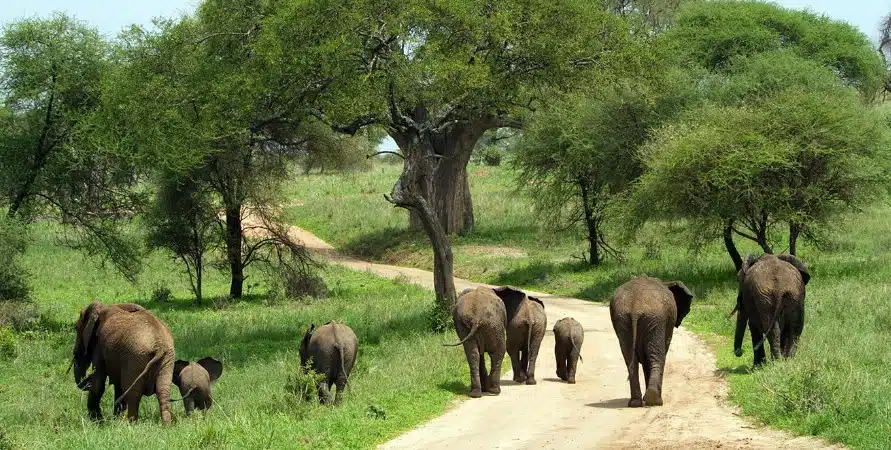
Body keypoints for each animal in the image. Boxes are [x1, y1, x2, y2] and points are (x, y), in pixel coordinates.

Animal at [610, 276, 693, 407]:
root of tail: (635, 308)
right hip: (655, 319)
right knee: (657, 357)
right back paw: (656, 401)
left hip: (623, 320)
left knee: (630, 360)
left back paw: (636, 403)